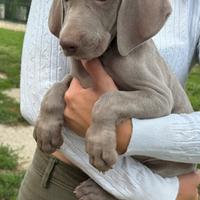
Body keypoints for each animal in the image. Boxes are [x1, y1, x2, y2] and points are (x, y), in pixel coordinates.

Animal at [33, 0, 196, 198]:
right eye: (65, 2)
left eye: (103, 1)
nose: (66, 44)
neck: (105, 55)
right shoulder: (79, 80)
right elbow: (56, 87)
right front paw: (46, 129)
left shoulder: (160, 96)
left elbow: (108, 99)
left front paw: (99, 145)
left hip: (166, 168)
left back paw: (94, 191)